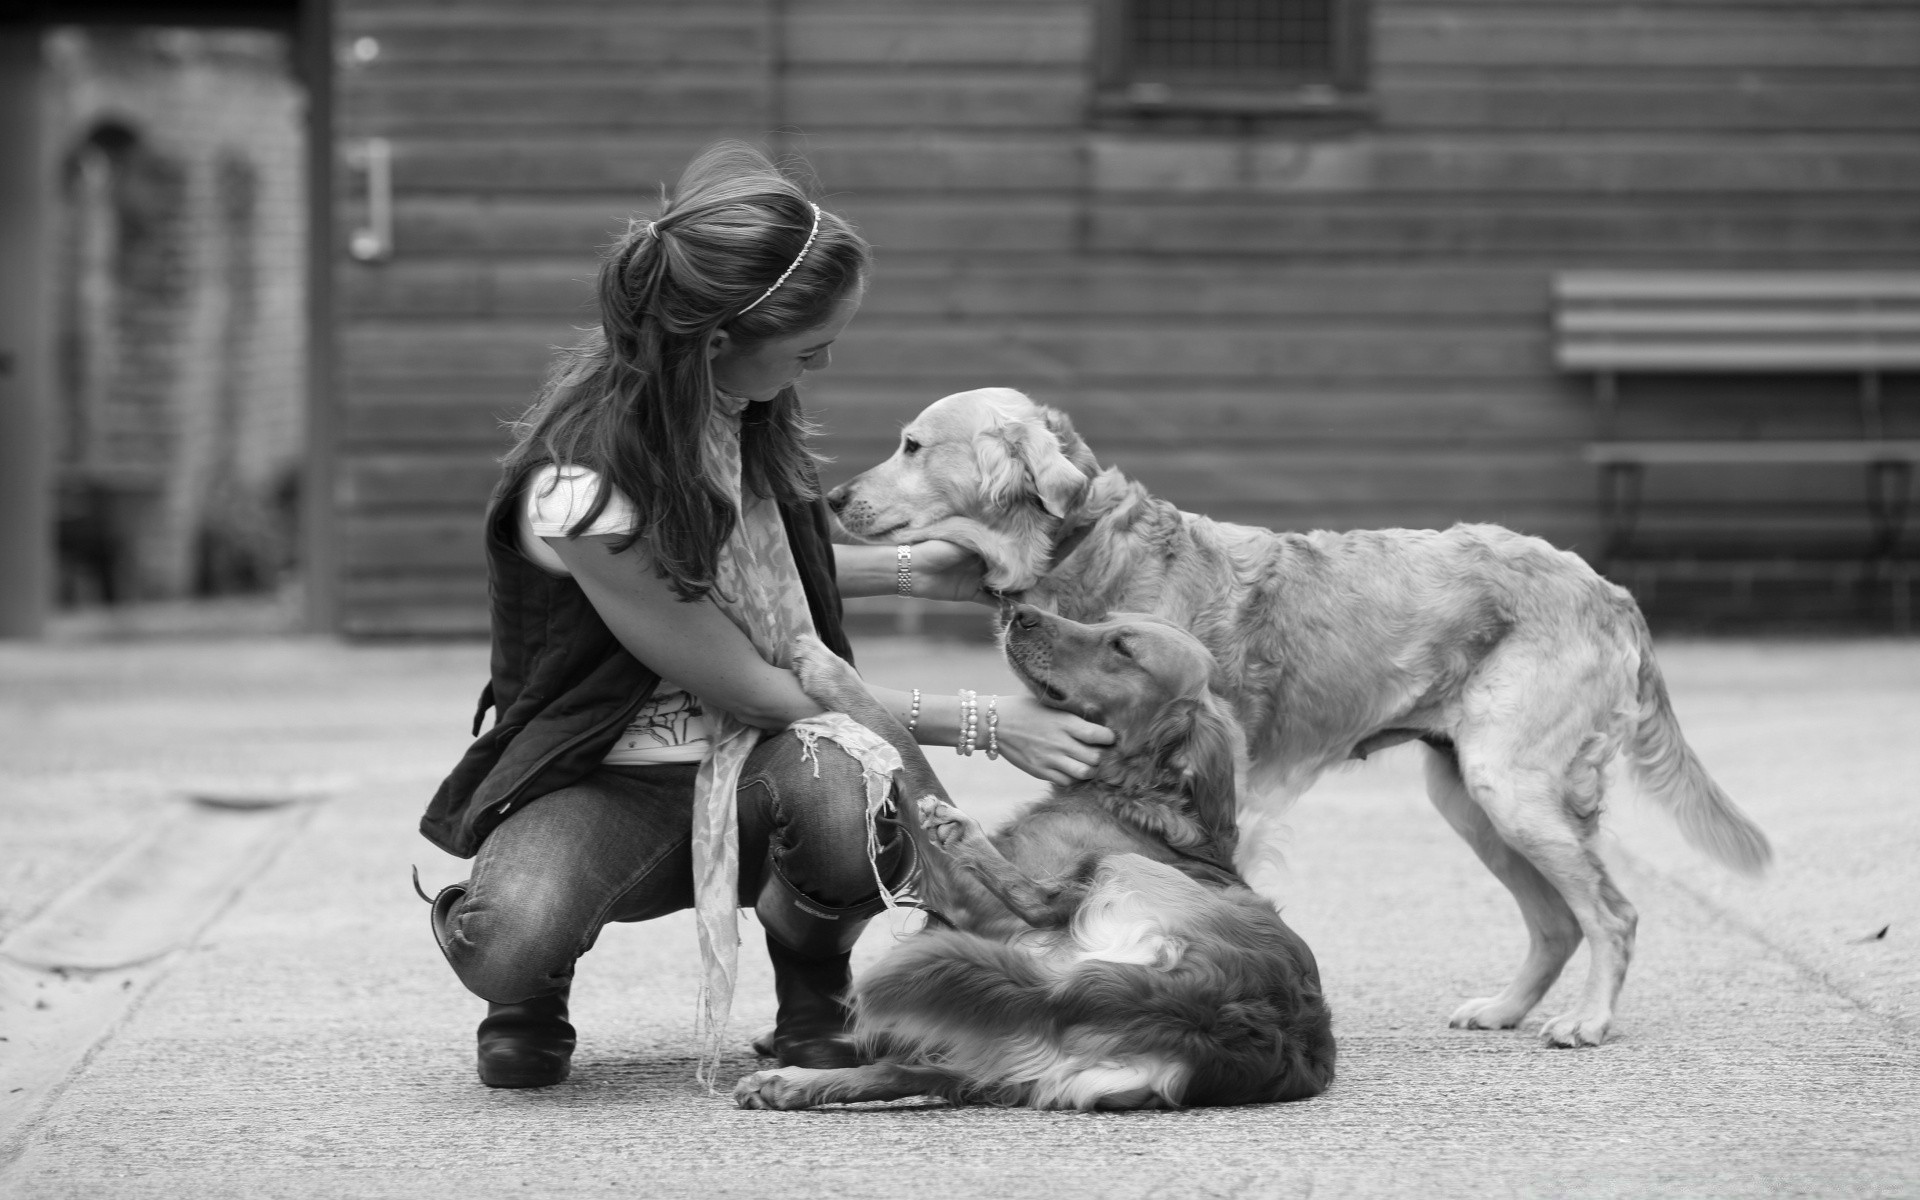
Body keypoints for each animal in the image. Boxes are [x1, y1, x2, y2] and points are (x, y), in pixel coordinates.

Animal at [733, 606, 1336, 1113]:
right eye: (1107, 619)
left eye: (1121, 646)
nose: (1019, 612)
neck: (1133, 794)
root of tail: (1215, 1007)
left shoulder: (974, 906)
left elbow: (900, 740)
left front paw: (830, 671)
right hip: (1012, 1053)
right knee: (911, 1070)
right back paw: (791, 1082)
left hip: (1111, 872)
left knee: (1039, 900)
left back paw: (962, 833)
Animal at [825, 387, 1766, 1044]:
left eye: (912, 445)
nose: (831, 499)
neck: (1085, 546)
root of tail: (1607, 586)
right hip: (1469, 798)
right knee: (1557, 921)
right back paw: (1504, 1008)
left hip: (1511, 789)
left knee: (1611, 913)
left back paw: (1589, 1021)